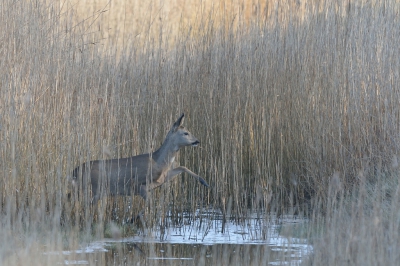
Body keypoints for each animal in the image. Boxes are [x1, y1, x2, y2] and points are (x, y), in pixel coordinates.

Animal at [68, 112, 209, 210]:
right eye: (186, 133)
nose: (197, 141)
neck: (158, 162)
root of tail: (74, 171)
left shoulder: (160, 180)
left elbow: (182, 167)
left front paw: (204, 182)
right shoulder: (138, 185)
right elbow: (149, 206)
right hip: (92, 189)